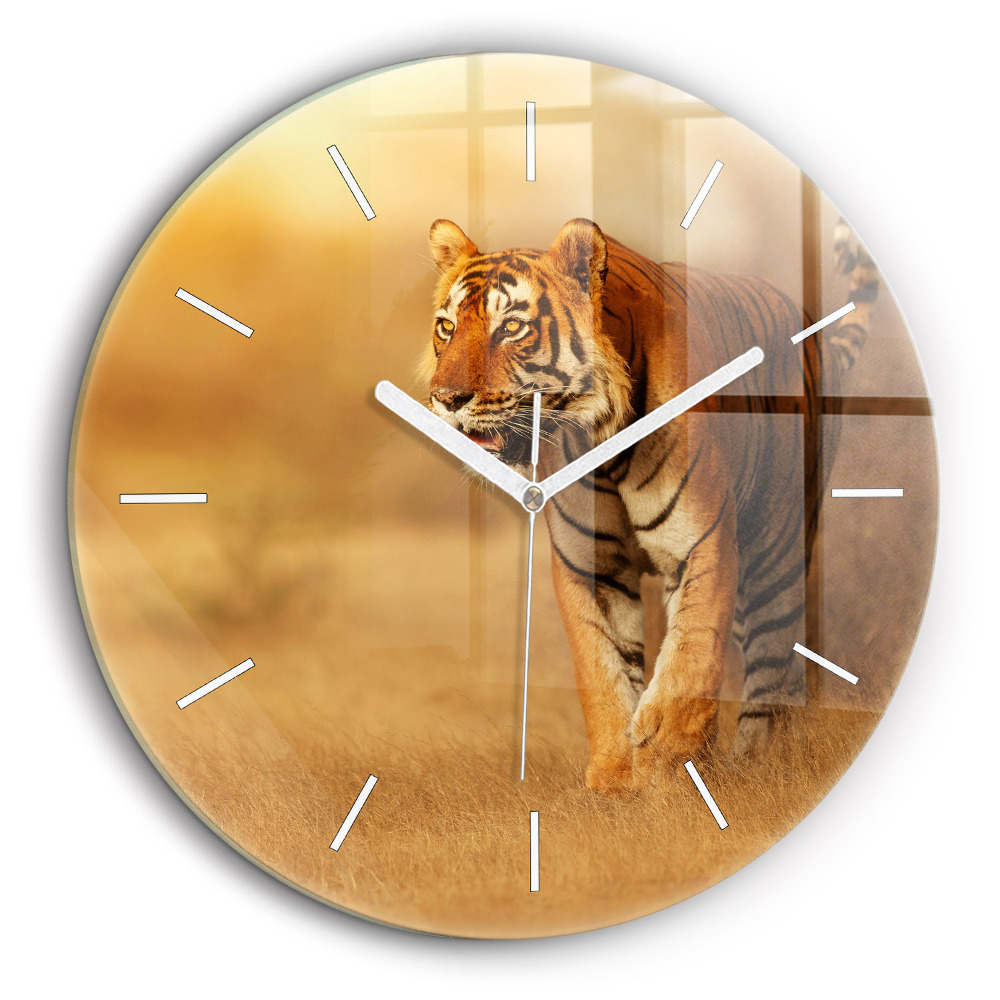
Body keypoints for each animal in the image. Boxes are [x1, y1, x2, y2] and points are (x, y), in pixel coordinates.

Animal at [423, 217, 877, 792]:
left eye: (511, 328)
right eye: (446, 327)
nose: (445, 399)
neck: (599, 438)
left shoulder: (701, 542)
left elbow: (689, 658)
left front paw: (666, 770)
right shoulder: (589, 565)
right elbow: (604, 670)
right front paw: (616, 778)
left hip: (776, 553)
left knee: (775, 672)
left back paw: (761, 768)